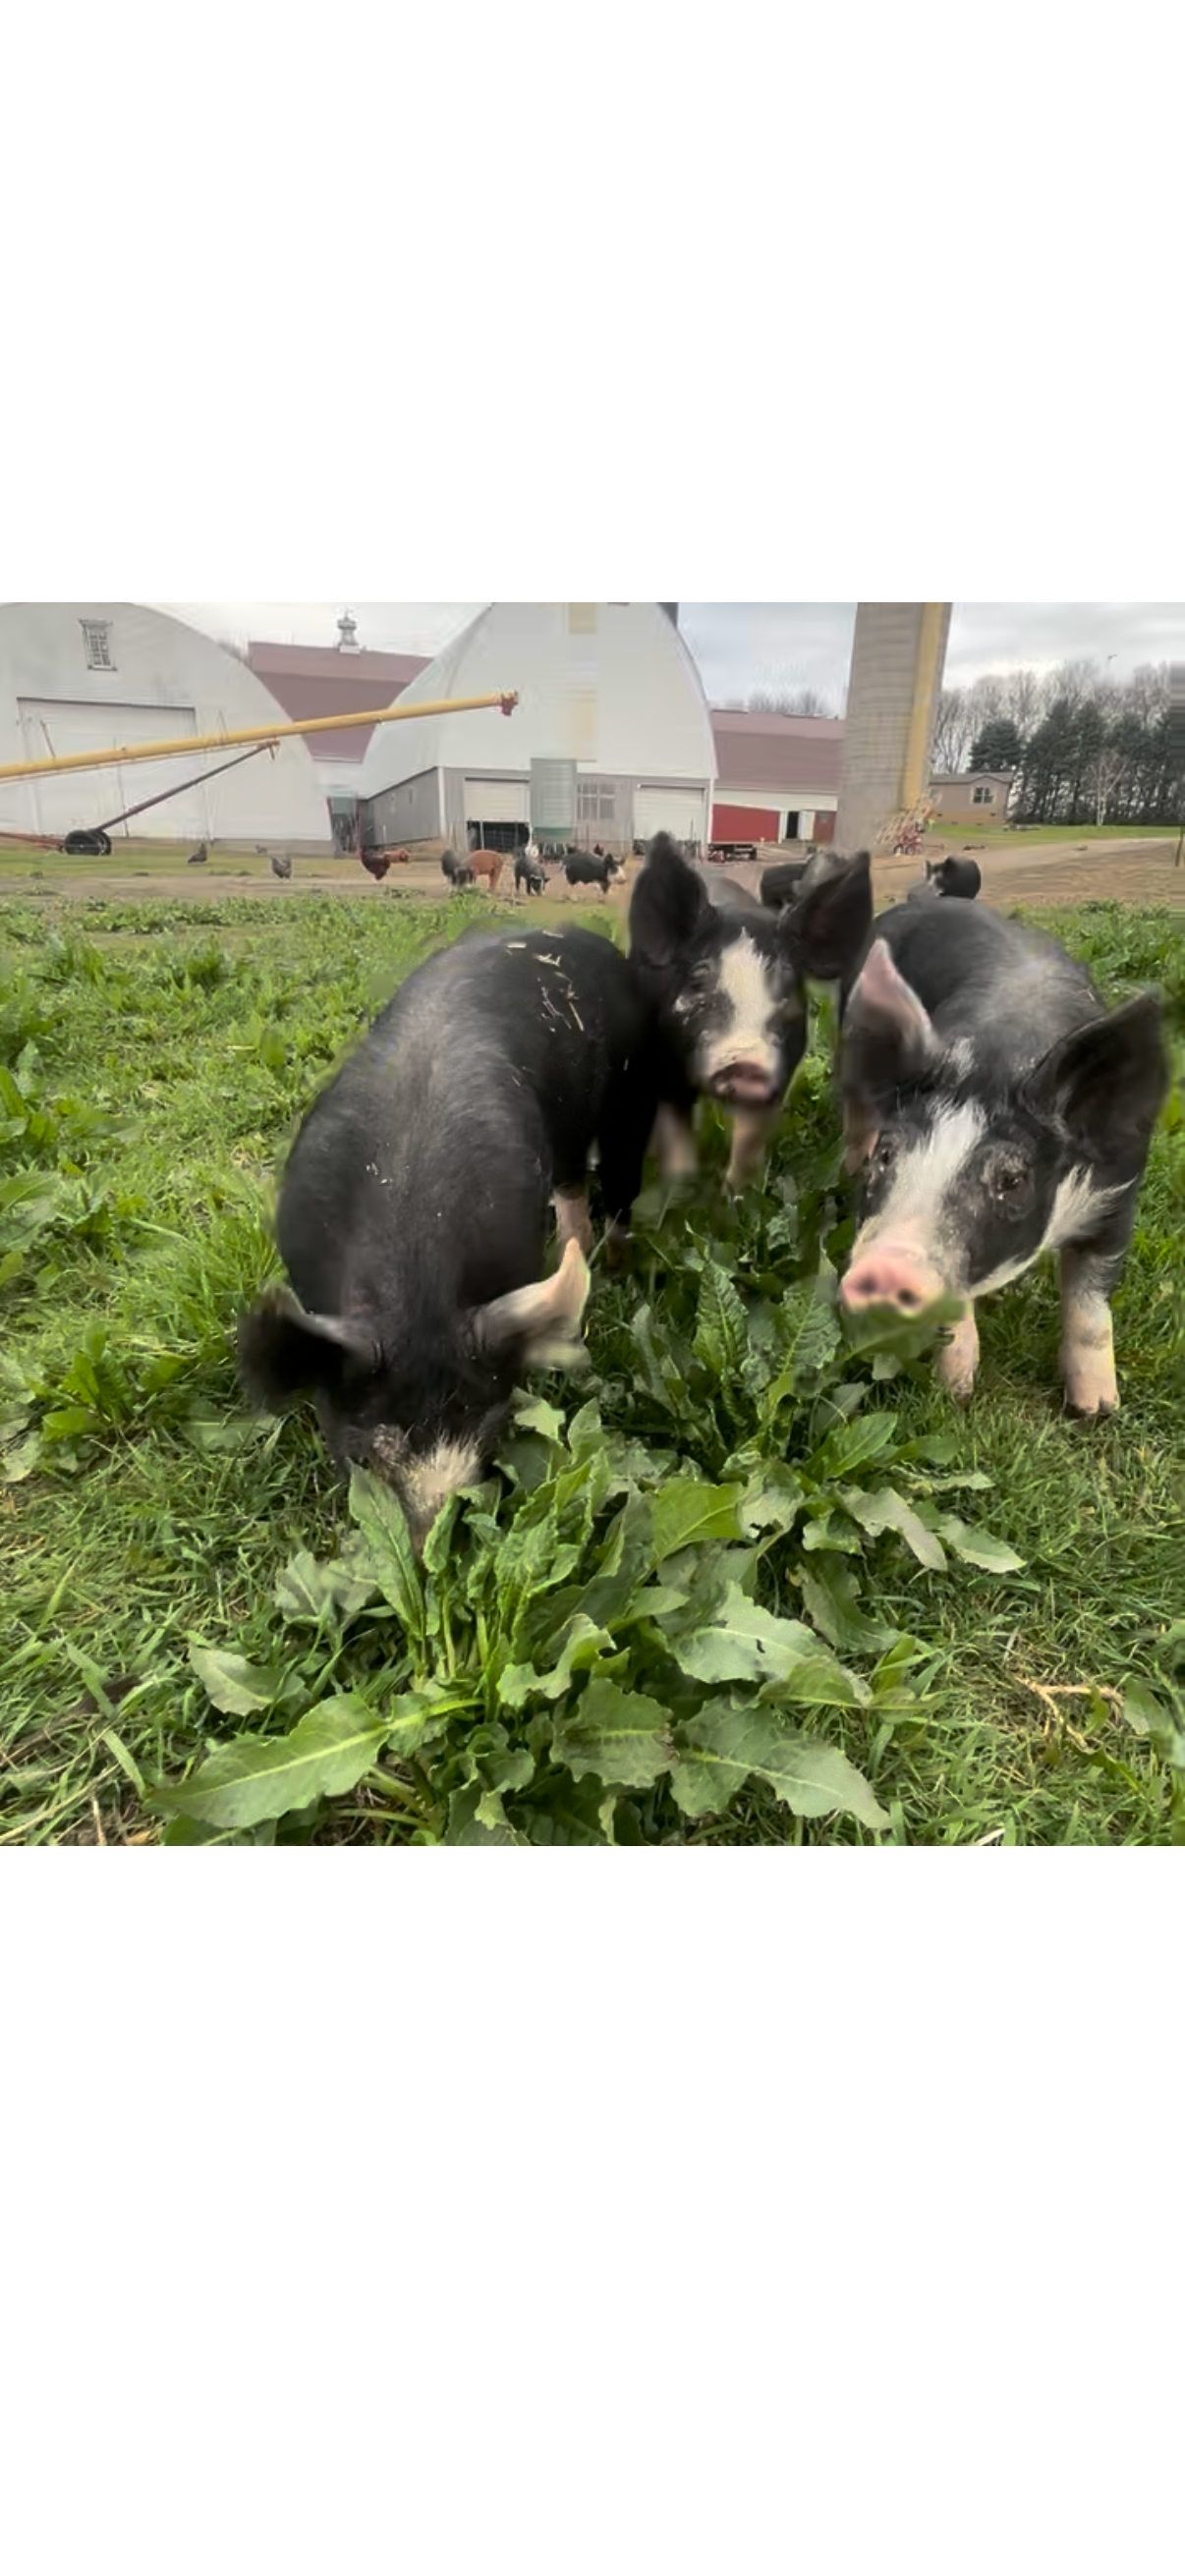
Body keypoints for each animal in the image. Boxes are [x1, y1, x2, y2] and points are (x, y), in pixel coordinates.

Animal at [238, 929, 668, 1552]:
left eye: (486, 1447)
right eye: (365, 1458)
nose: (424, 1559)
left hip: (635, 1094)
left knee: (618, 1188)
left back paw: (613, 1263)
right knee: (570, 1184)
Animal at [629, 832, 873, 1191]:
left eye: (789, 988)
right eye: (698, 978)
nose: (747, 1065)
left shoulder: (780, 1076)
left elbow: (749, 1143)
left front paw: (736, 1194)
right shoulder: (662, 1065)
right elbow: (676, 1137)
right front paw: (679, 1191)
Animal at [838, 902, 1169, 1415]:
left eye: (1012, 1179)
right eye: (889, 1153)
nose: (887, 1267)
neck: (999, 1063)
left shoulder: (1117, 1196)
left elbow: (1091, 1307)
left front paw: (1095, 1411)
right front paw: (956, 1393)